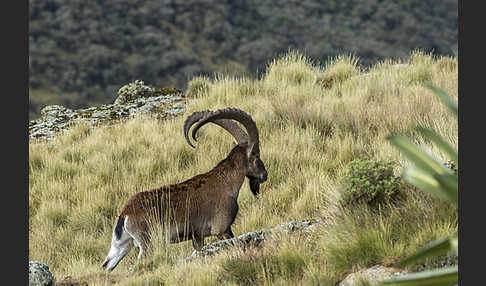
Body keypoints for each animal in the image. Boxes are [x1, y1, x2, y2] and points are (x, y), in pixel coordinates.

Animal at [100, 106, 268, 270]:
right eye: (256, 154)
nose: (264, 175)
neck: (225, 182)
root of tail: (125, 213)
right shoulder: (222, 229)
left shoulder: (197, 236)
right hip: (148, 244)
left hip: (121, 246)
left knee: (107, 265)